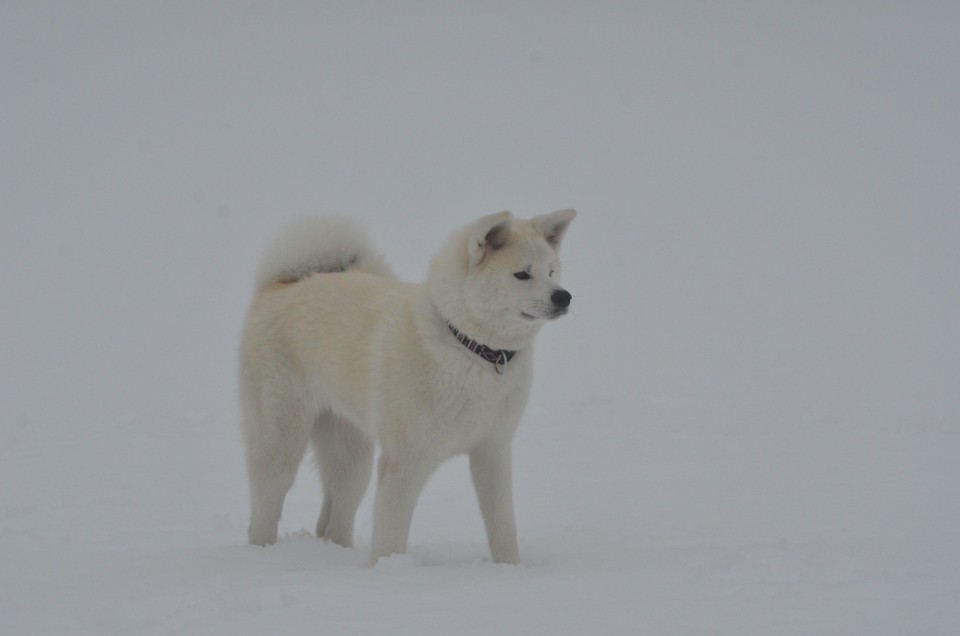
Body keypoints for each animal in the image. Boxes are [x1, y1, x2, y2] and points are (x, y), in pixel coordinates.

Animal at [240, 209, 572, 560]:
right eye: (522, 274)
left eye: (552, 271)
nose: (564, 296)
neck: (468, 345)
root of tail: (281, 285)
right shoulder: (405, 463)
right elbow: (390, 537)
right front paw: (390, 570)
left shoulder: (492, 450)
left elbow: (504, 527)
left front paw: (510, 568)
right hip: (281, 446)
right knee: (262, 514)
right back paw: (262, 553)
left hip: (352, 459)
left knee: (331, 522)